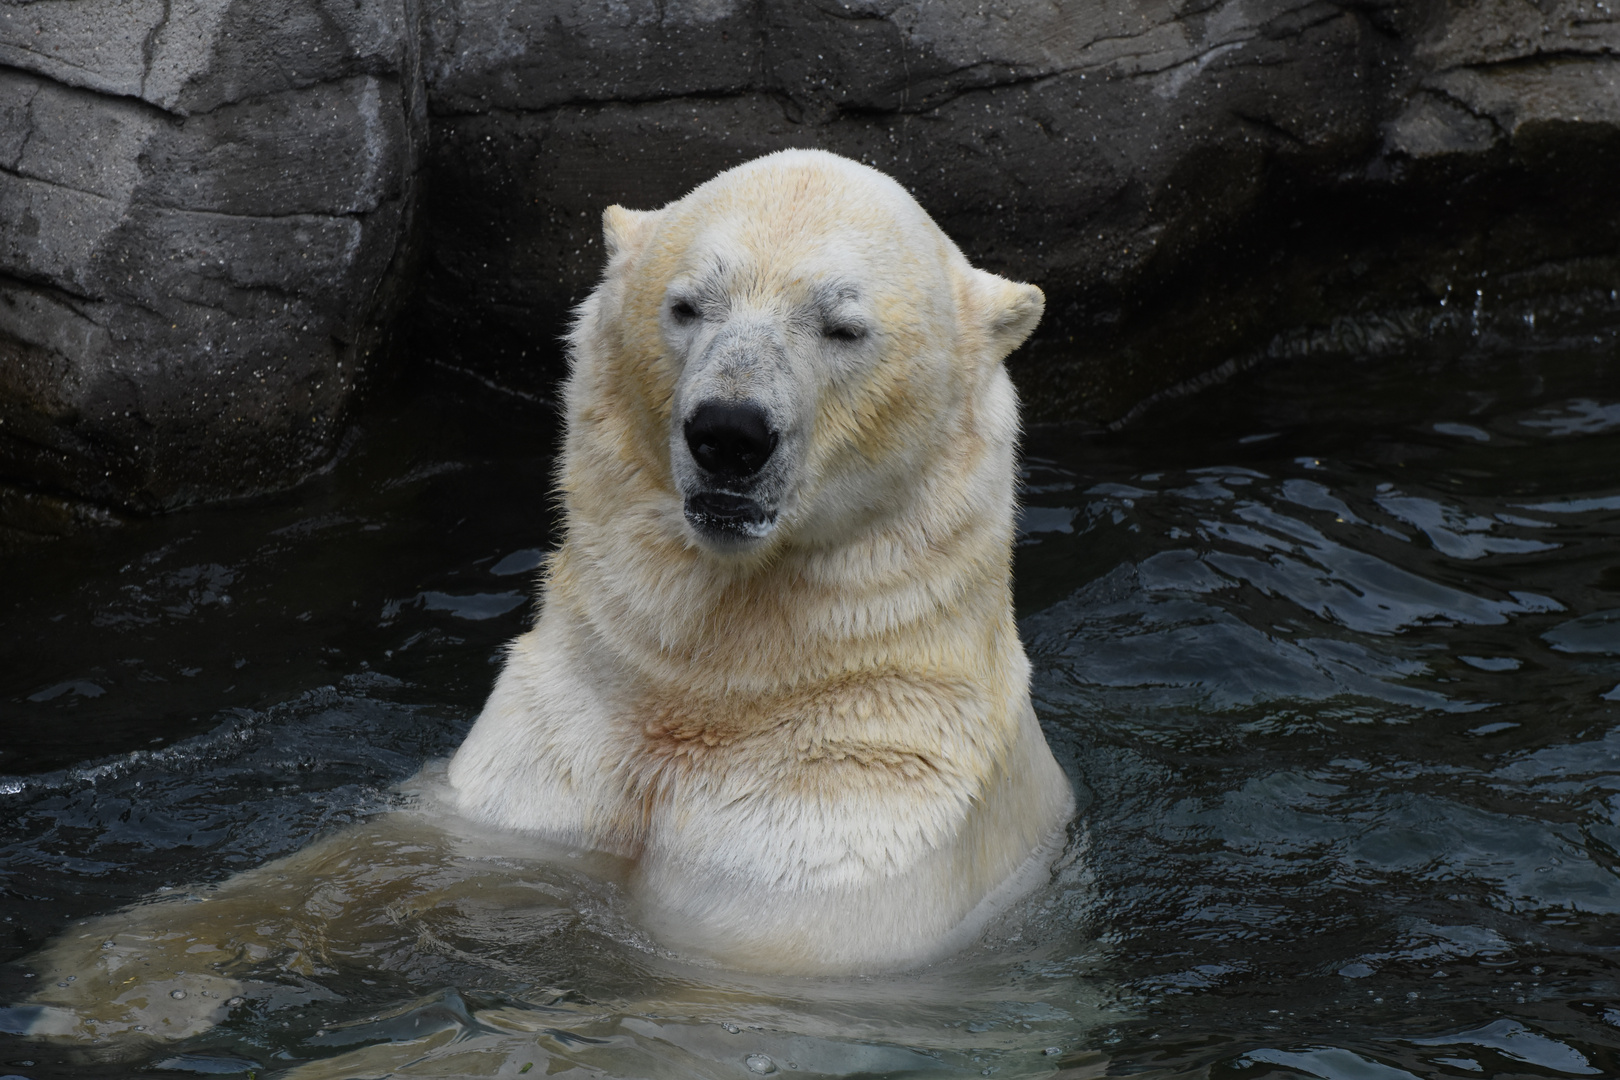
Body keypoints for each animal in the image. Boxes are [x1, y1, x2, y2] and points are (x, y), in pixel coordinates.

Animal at [443, 149, 1075, 971]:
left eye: (843, 327)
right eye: (686, 306)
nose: (729, 433)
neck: (719, 689)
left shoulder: (845, 819)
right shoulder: (547, 758)